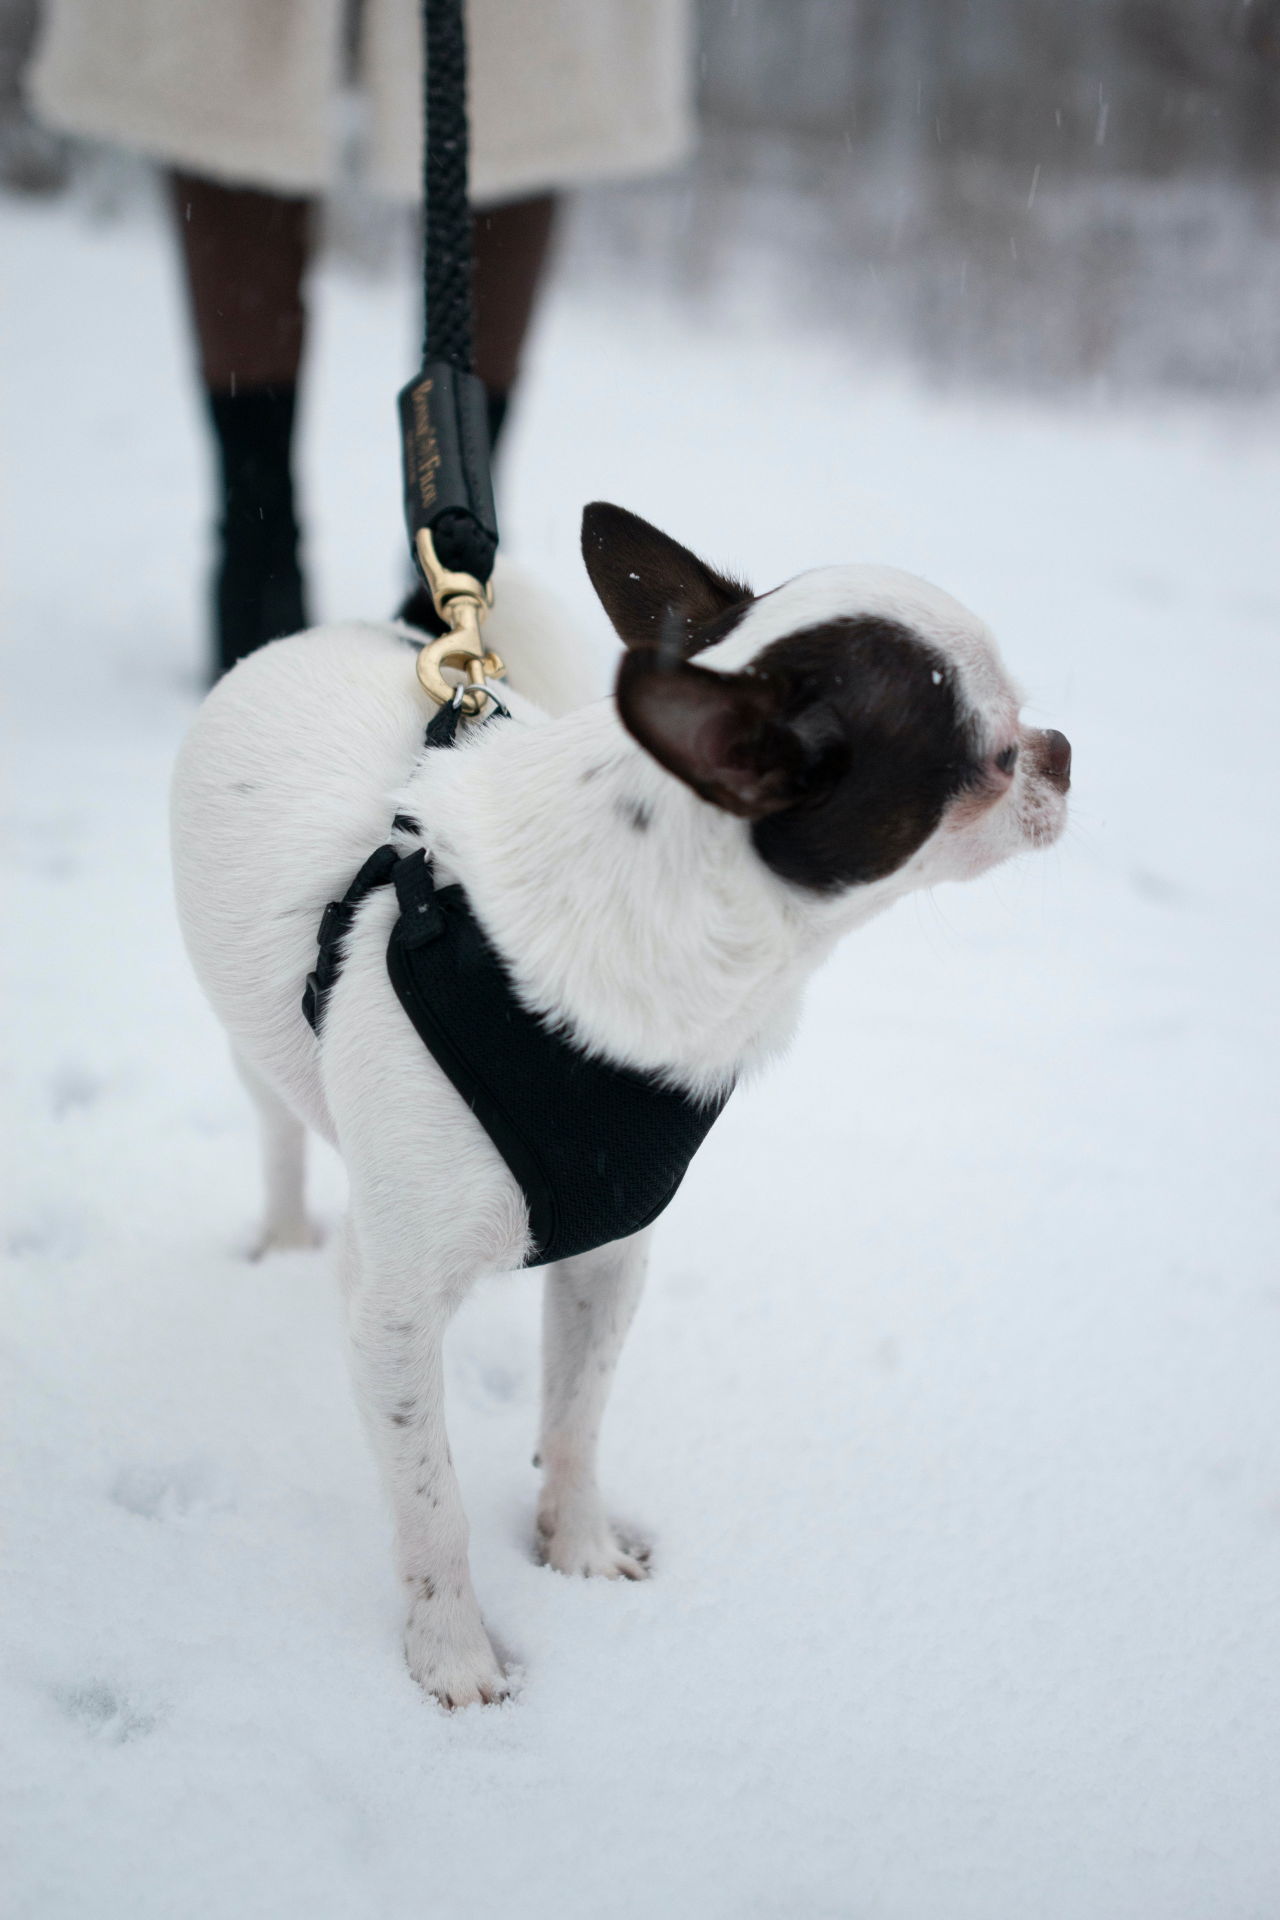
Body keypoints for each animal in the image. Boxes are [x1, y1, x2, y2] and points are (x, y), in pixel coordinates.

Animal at [172, 503, 1074, 1704]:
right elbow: (431, 1502)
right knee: (278, 1132)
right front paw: (454, 1657)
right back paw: (278, 1237)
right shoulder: (392, 1310)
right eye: (996, 758)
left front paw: (580, 1552)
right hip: (254, 1056)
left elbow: (577, 1417)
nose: (1064, 752)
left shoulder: (609, 1248)